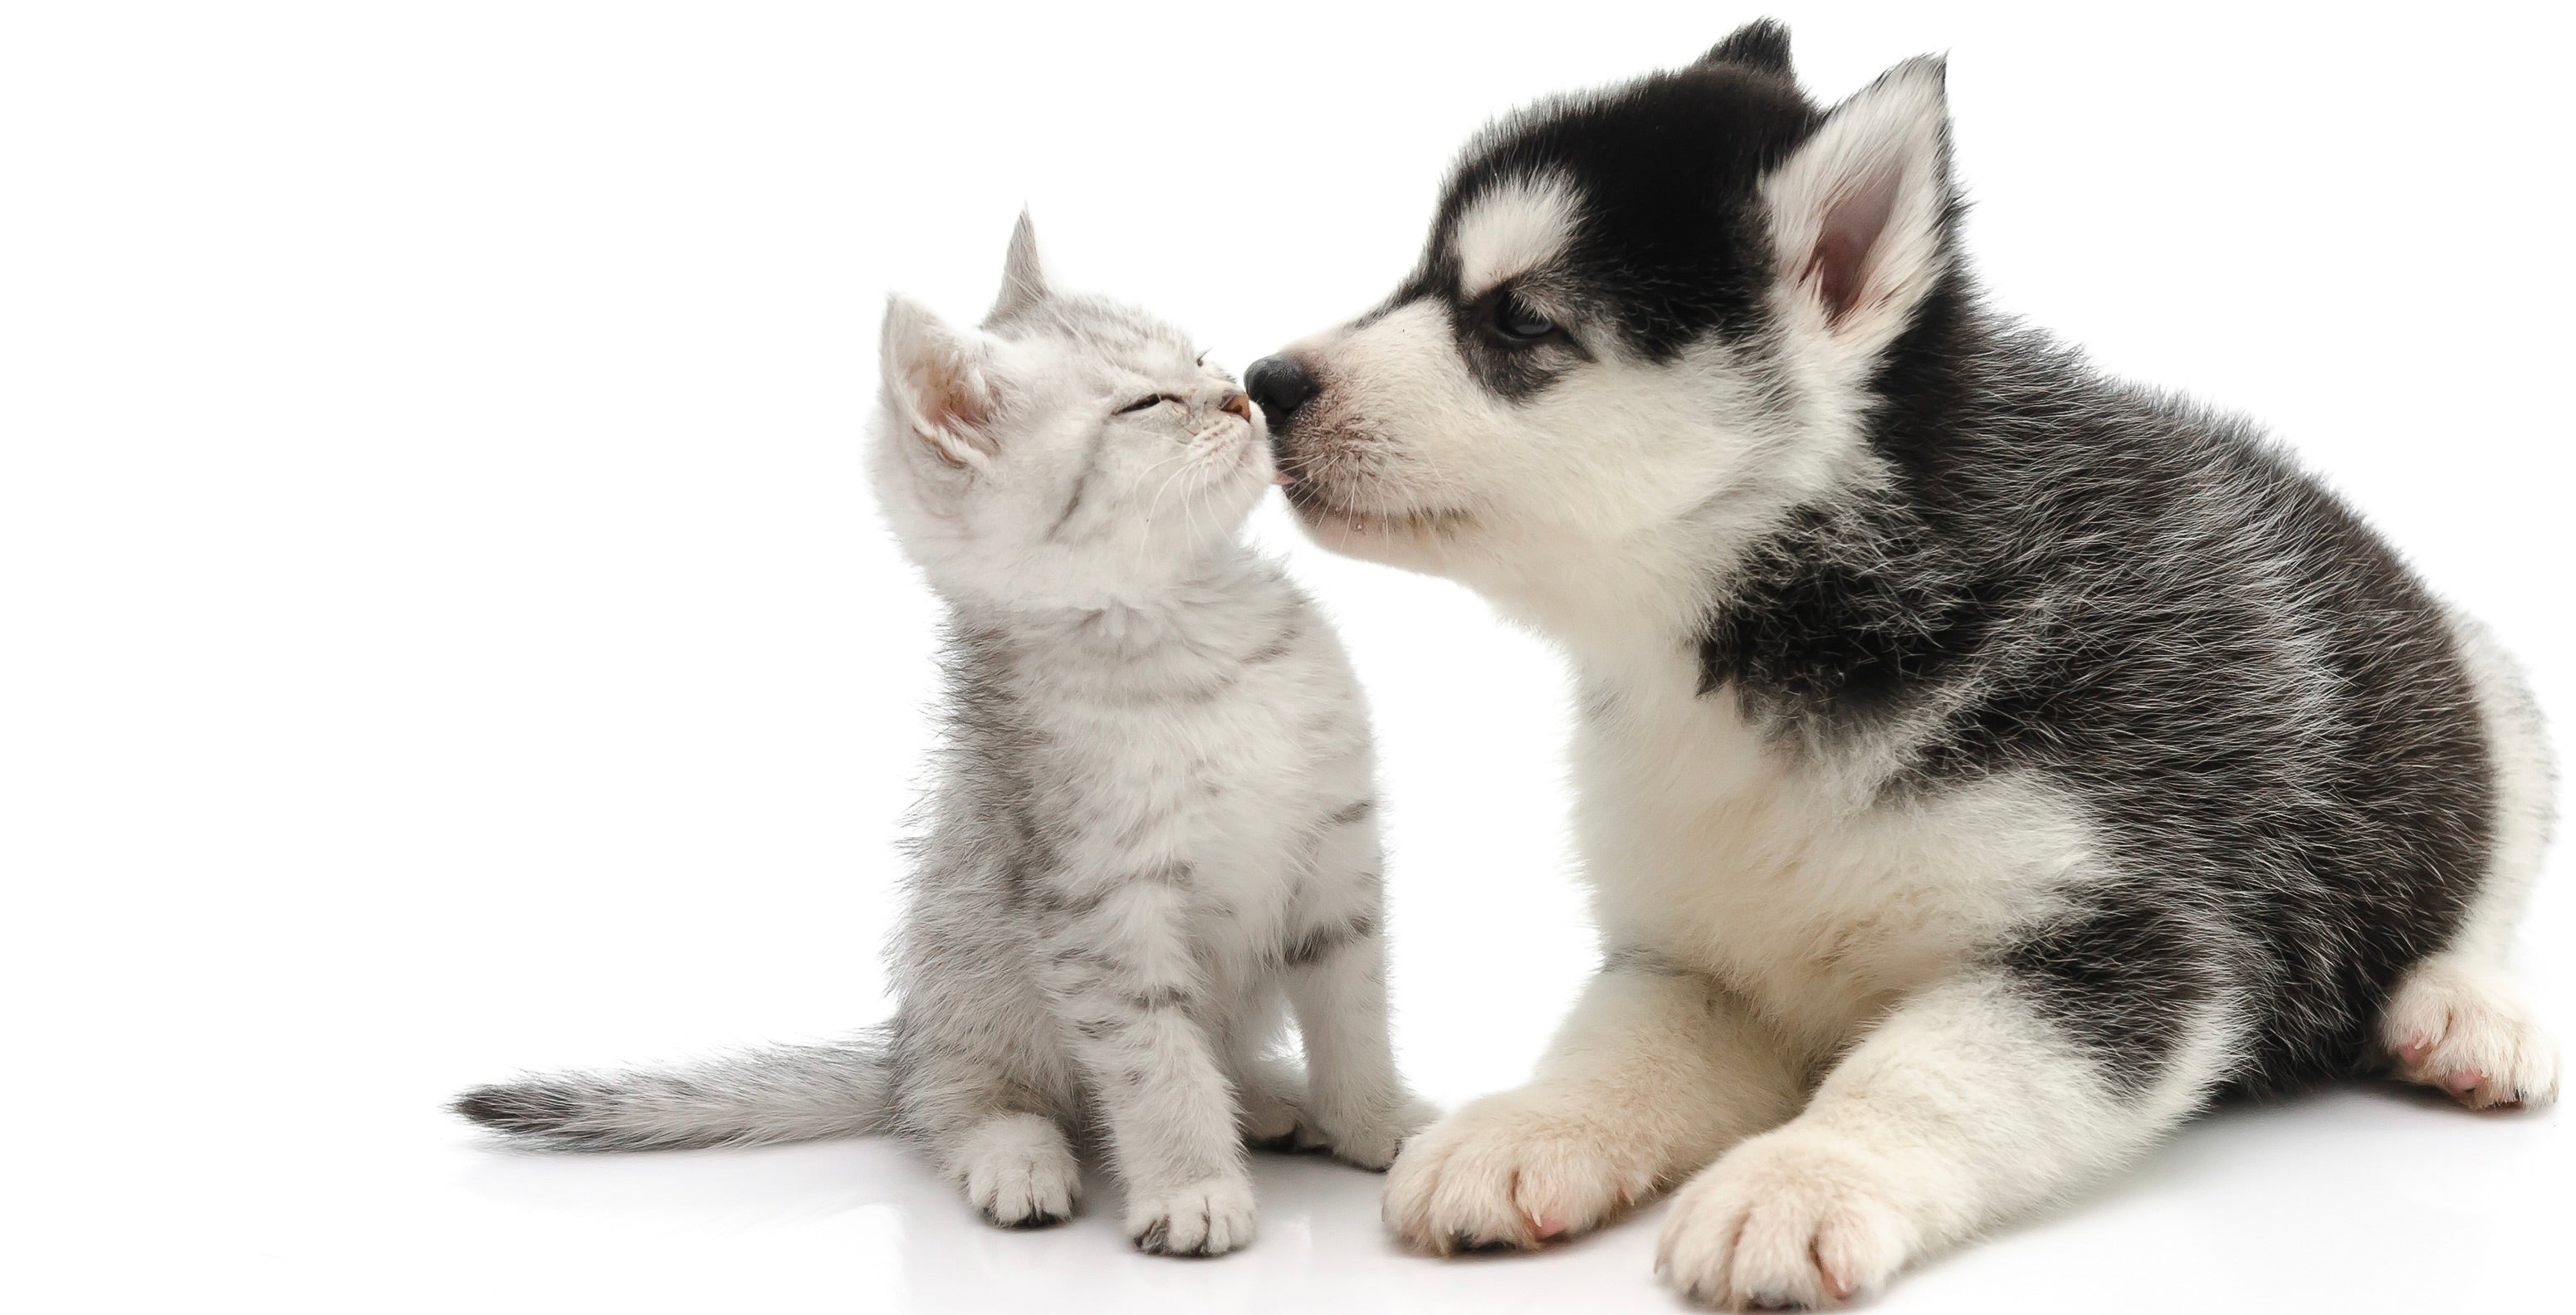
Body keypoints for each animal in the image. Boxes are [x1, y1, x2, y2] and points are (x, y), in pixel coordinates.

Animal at [461, 215, 1432, 1253]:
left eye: (1200, 357)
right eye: (1147, 403)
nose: (1241, 394)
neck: (1197, 637)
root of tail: (902, 1046)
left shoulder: (1336, 861)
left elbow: (1354, 1016)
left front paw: (1378, 1122)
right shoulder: (1100, 913)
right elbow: (1154, 1061)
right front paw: (1190, 1187)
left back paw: (1271, 1098)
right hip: (969, 993)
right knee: (961, 1106)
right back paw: (1019, 1158)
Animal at [1246, 25, 2555, 1309]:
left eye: (1516, 320)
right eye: (1421, 277)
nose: (1265, 383)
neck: (1773, 649)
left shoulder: (2121, 931)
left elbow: (1923, 1074)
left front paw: (1802, 1180)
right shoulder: (1693, 953)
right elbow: (1619, 1043)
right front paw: (1527, 1128)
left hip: (2484, 698)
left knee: (2487, 880)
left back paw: (2463, 1012)